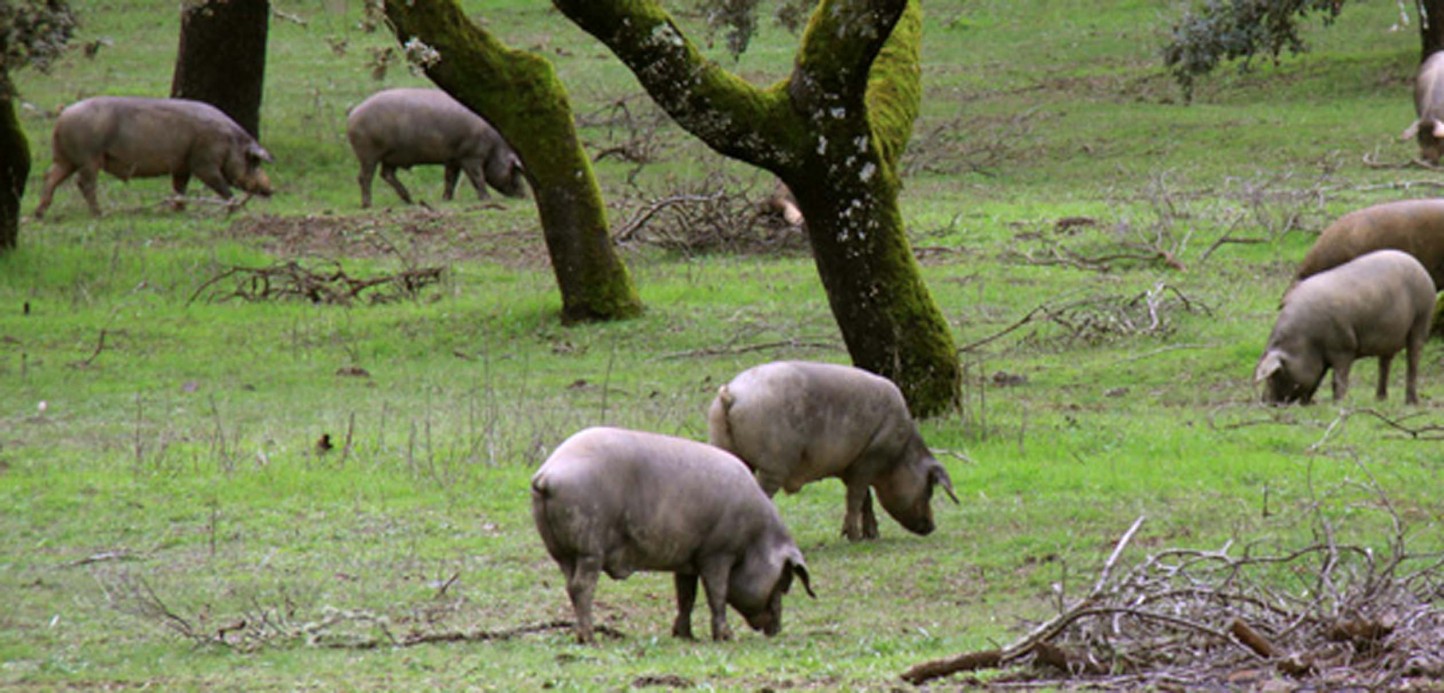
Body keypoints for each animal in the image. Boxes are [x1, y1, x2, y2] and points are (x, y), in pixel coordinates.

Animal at [33, 95, 275, 219]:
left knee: (49, 177)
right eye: (254, 161)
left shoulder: (182, 166)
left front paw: (178, 210)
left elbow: (179, 187)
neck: (229, 142)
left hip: (65, 158)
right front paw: (233, 209)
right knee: (84, 183)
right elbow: (220, 184)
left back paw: (39, 214)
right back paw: (100, 214)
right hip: (88, 156)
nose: (271, 189)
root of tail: (63, 116)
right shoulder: (204, 162)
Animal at [342, 86, 525, 206]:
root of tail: (354, 112)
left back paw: (410, 201)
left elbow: (450, 179)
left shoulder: (453, 159)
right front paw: (487, 199)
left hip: (391, 157)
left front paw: (446, 200)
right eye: (514, 169)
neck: (495, 148)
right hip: (368, 153)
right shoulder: (471, 156)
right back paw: (368, 205)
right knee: (365, 177)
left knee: (386, 174)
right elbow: (477, 177)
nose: (524, 195)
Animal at [528, 424, 814, 646]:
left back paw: (581, 636)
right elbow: (717, 593)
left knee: (569, 584)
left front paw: (685, 636)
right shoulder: (717, 553)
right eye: (784, 583)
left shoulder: (687, 559)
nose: (776, 630)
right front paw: (725, 637)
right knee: (582, 586)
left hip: (561, 551)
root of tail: (548, 474)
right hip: (589, 546)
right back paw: (591, 639)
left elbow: (686, 596)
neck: (754, 539)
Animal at [701, 359, 953, 542]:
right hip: (773, 463)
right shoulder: (869, 459)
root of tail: (731, 393)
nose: (932, 526)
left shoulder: (851, 465)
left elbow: (866, 498)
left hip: (723, 448)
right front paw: (854, 538)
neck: (900, 453)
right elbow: (856, 496)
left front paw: (871, 536)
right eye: (929, 488)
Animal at [1253, 248, 1432, 404]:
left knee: (1413, 361)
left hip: (1421, 319)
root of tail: (1419, 266)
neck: (1305, 340)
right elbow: (1317, 379)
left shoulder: (1344, 348)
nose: (1265, 401)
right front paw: (1307, 403)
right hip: (1389, 336)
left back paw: (1411, 402)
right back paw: (1379, 399)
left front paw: (1338, 403)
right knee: (1384, 364)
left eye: (1274, 375)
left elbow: (1338, 379)